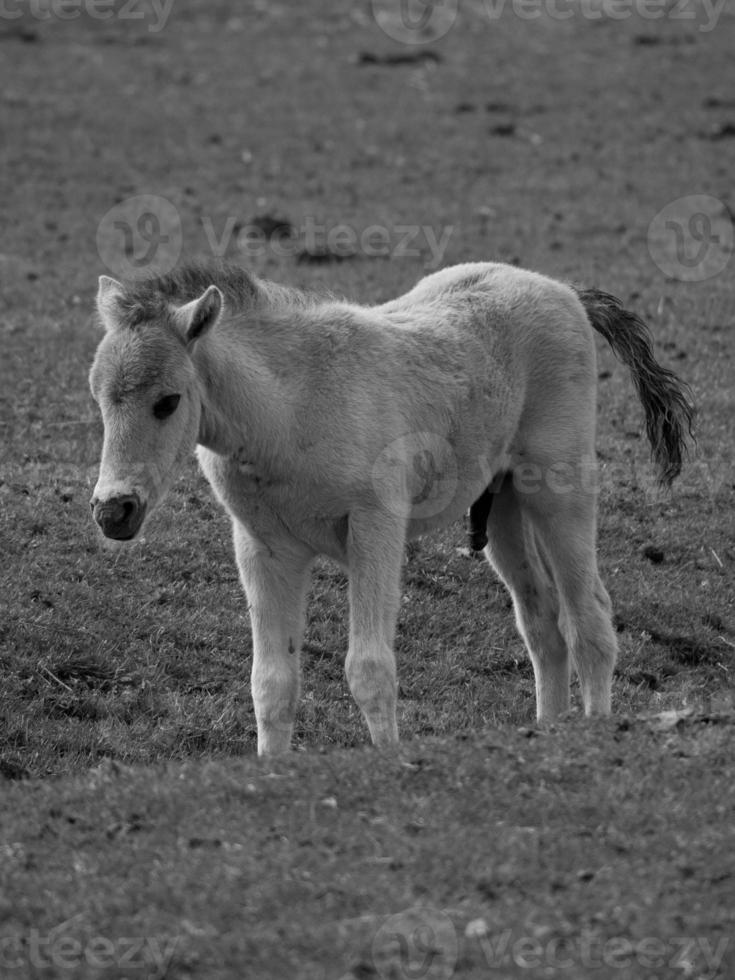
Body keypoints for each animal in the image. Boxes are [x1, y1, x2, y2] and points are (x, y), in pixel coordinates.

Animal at [89, 258, 692, 752]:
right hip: (502, 508)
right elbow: (272, 683)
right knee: (543, 623)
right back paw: (548, 730)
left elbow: (369, 668)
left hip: (557, 492)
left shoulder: (374, 527)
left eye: (168, 401)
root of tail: (565, 291)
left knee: (590, 619)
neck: (289, 409)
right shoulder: (265, 547)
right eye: (97, 397)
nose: (113, 511)